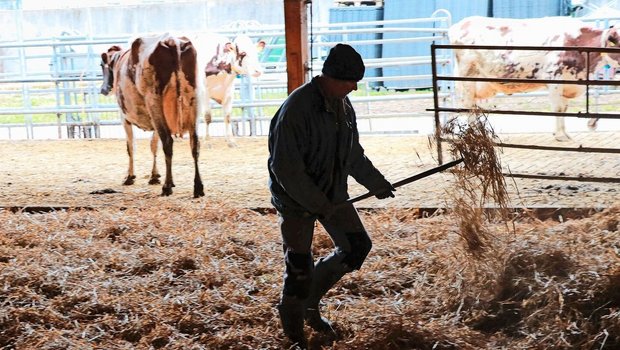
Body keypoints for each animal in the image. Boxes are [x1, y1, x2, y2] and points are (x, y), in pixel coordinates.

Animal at [100, 33, 205, 198]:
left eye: (101, 65)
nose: (103, 89)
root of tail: (172, 41)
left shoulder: (124, 117)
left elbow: (131, 146)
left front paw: (130, 176)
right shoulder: (154, 121)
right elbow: (154, 145)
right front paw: (155, 176)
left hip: (154, 100)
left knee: (168, 142)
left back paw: (167, 186)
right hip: (193, 101)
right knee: (195, 144)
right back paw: (198, 187)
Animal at [448, 15, 620, 141]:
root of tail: (461, 23)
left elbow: (564, 108)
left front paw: (565, 134)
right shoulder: (554, 78)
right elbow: (558, 108)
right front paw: (560, 136)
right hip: (468, 75)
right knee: (469, 105)